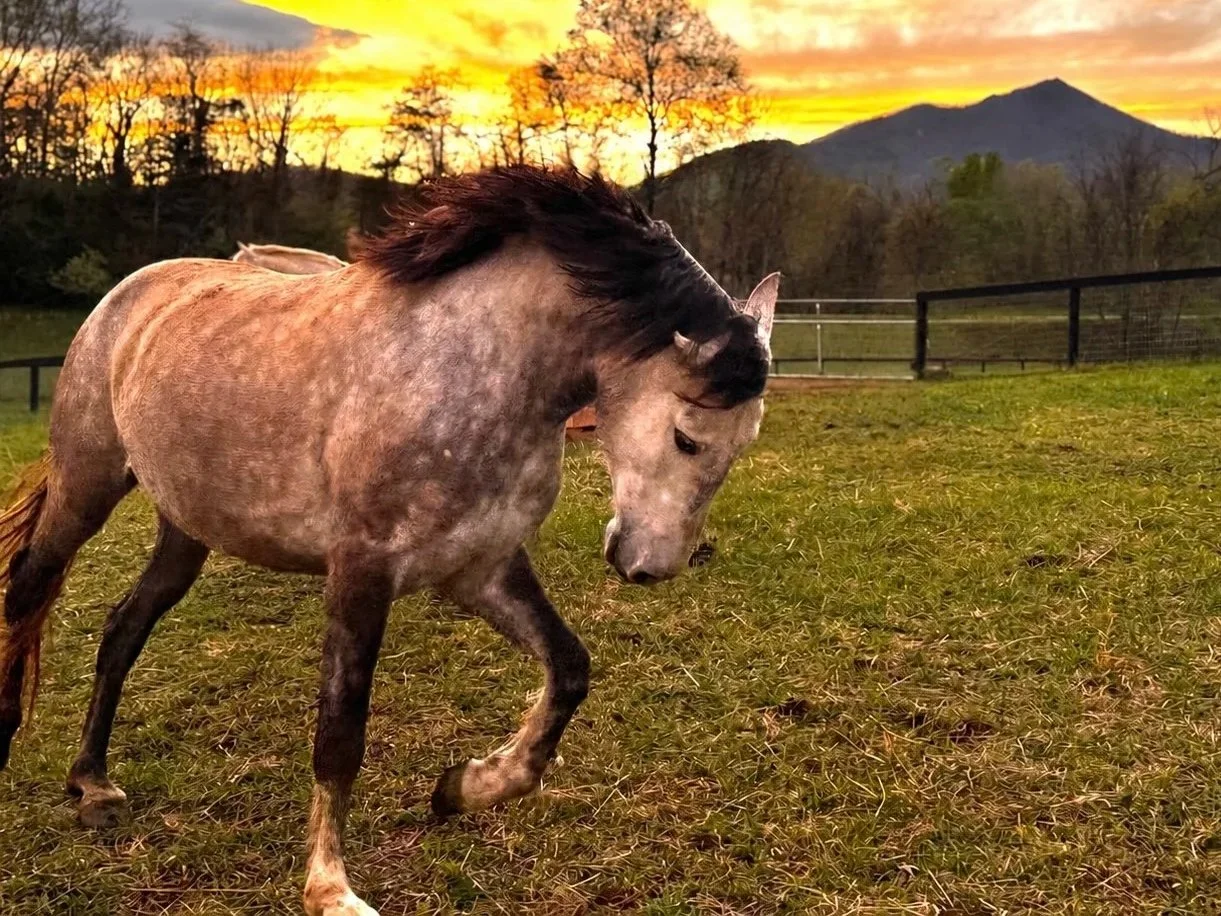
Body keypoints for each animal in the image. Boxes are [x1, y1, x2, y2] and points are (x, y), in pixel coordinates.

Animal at [0, 165, 778, 916]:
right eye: (686, 436)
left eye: (744, 442)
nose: (650, 565)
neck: (475, 367)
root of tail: (124, 296)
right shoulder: (361, 572)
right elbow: (340, 733)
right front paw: (329, 889)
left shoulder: (480, 569)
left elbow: (568, 669)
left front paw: (466, 786)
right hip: (87, 484)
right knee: (30, 588)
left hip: (185, 530)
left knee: (122, 629)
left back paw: (92, 784)